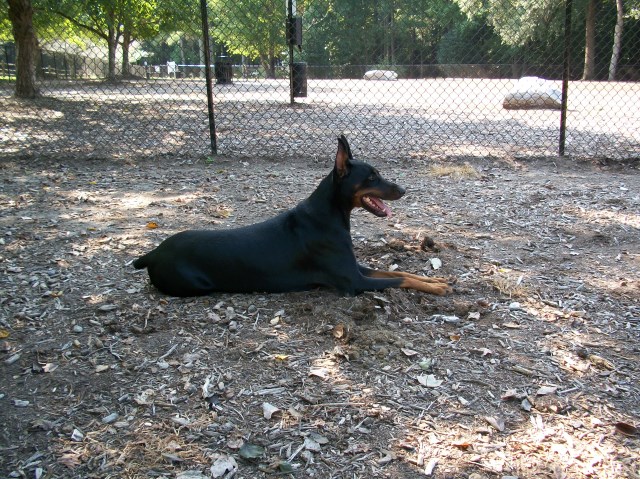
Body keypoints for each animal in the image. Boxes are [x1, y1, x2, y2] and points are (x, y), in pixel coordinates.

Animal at [132, 135, 450, 298]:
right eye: (372, 176)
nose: (404, 190)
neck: (329, 215)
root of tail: (153, 253)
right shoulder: (352, 281)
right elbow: (400, 281)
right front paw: (436, 287)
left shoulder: (356, 268)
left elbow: (400, 273)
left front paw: (437, 280)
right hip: (194, 285)